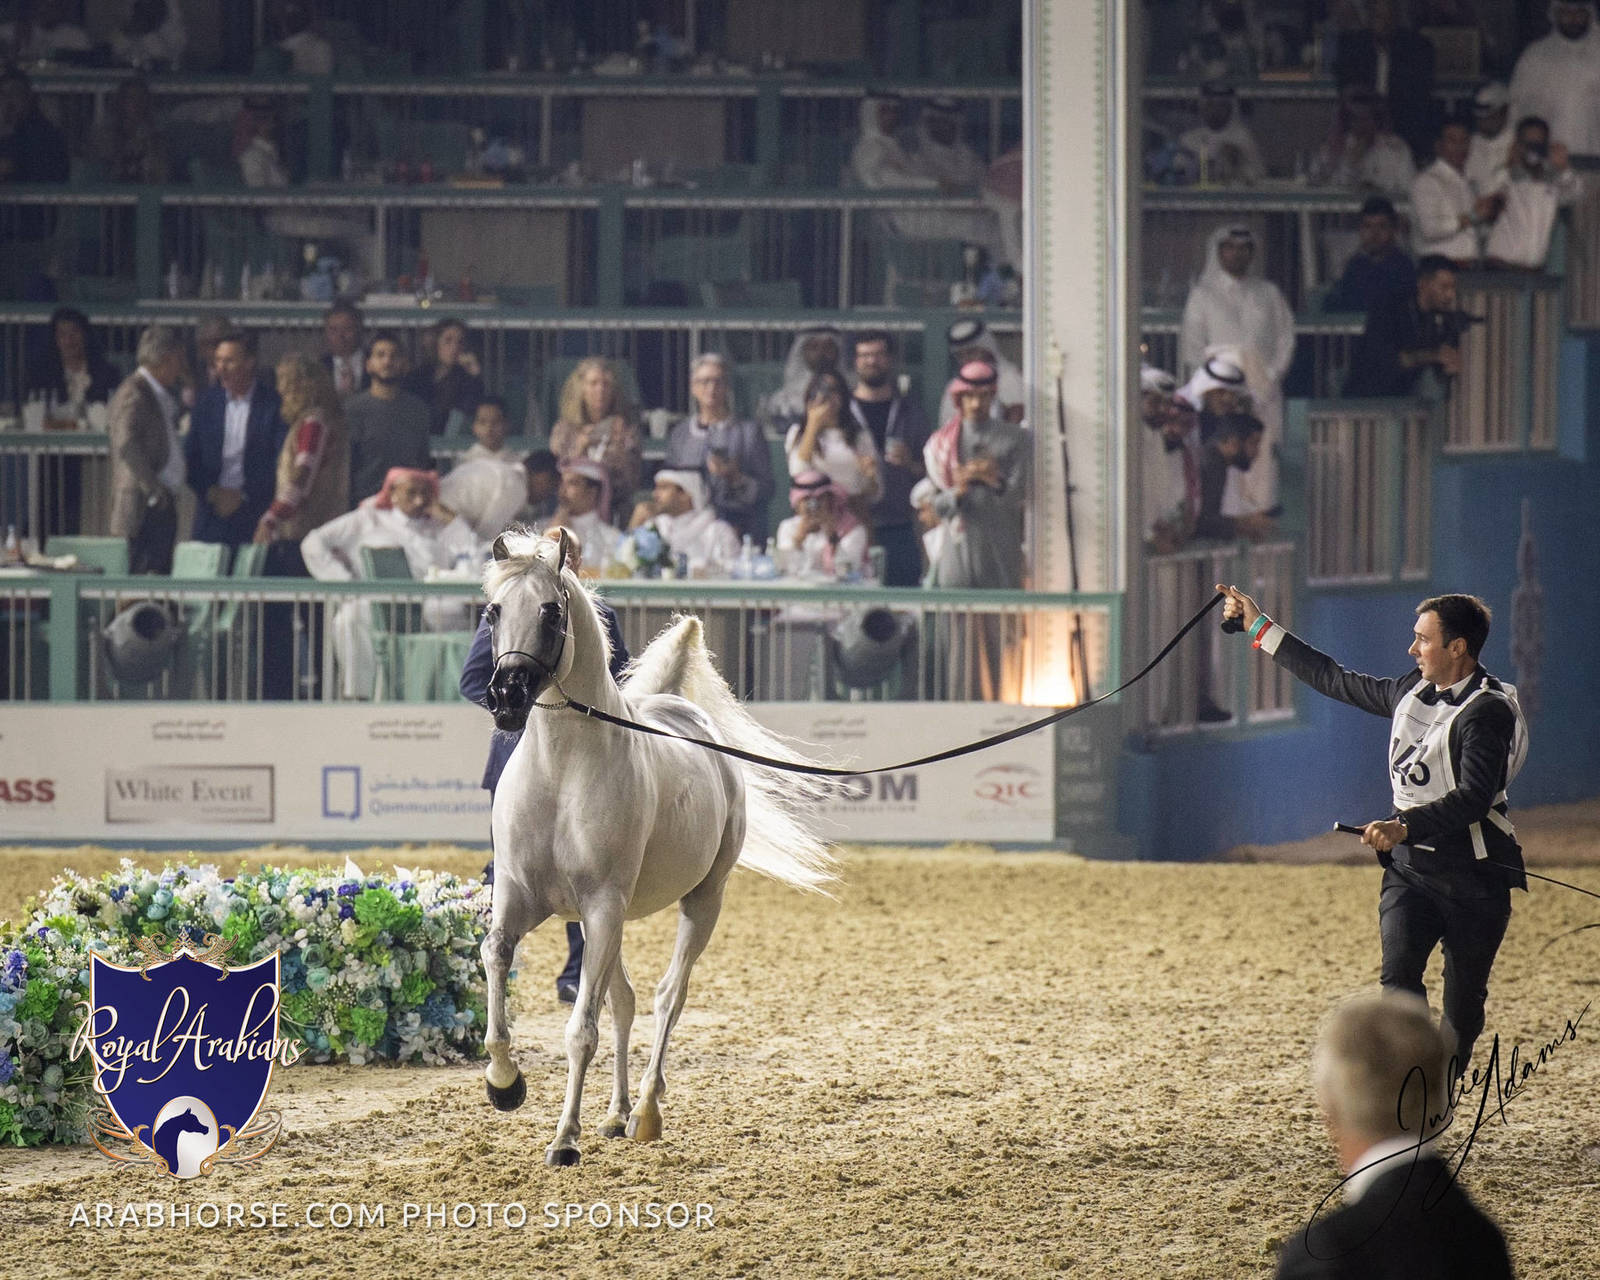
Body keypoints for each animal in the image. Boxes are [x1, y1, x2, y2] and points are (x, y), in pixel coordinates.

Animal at [479, 528, 835, 1166]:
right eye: (493, 611)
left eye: (549, 612)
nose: (506, 697)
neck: (561, 771)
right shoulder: (523, 898)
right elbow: (495, 956)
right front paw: (504, 1084)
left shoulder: (602, 904)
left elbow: (581, 1030)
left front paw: (563, 1140)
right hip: (608, 921)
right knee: (624, 1000)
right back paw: (617, 1113)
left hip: (699, 902)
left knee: (669, 996)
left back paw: (644, 1110)